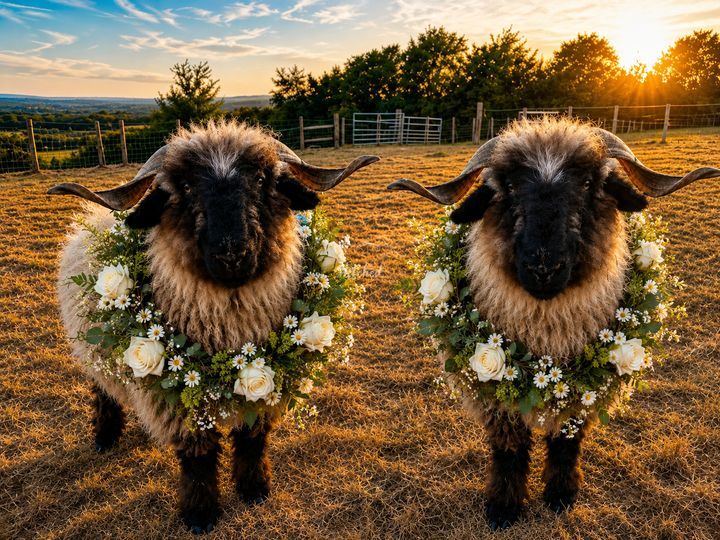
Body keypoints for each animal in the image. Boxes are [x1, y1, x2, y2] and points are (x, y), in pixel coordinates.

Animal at [49, 120, 378, 534]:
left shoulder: (263, 386)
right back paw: (105, 437)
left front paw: (254, 489)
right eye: (186, 189)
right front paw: (201, 514)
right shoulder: (179, 406)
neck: (229, 331)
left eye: (261, 180)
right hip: (94, 354)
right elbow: (198, 457)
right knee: (104, 391)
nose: (232, 254)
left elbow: (252, 439)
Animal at [388, 117, 720, 530]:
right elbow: (509, 449)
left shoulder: (583, 391)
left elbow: (566, 442)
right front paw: (503, 507)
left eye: (589, 184)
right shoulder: (494, 395)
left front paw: (561, 494)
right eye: (508, 187)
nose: (543, 268)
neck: (546, 336)